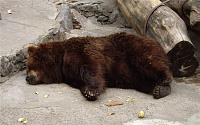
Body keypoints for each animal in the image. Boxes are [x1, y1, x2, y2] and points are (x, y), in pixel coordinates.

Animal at [25, 32, 173, 100]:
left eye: (29, 67)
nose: (27, 78)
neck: (60, 62)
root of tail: (157, 42)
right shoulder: (70, 75)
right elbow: (81, 82)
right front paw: (88, 92)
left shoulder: (80, 52)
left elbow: (91, 70)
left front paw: (92, 90)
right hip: (135, 76)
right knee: (144, 82)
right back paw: (160, 90)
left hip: (133, 49)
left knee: (147, 61)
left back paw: (165, 78)